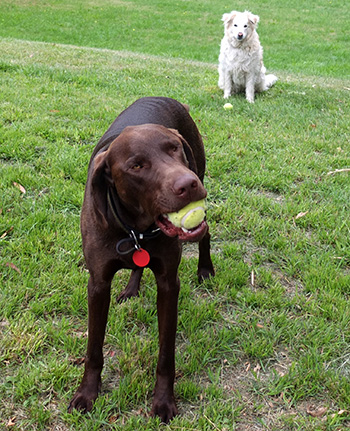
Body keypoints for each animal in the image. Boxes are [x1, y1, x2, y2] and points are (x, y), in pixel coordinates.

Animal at [68, 96, 215, 424]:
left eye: (173, 148)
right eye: (136, 165)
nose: (187, 184)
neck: (136, 228)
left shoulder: (168, 283)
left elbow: (166, 353)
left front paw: (163, 400)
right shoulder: (98, 284)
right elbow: (94, 348)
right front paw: (87, 393)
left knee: (205, 231)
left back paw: (205, 269)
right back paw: (132, 288)